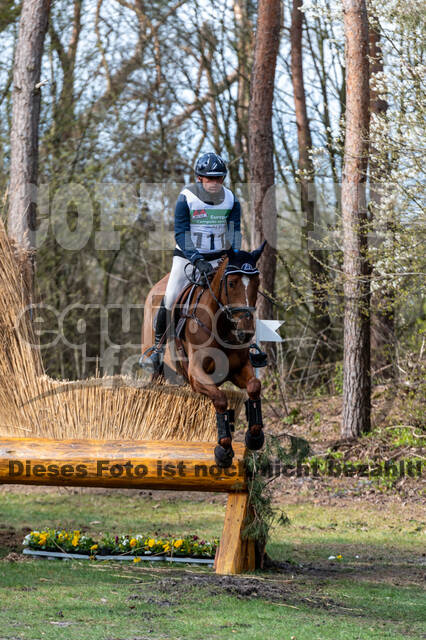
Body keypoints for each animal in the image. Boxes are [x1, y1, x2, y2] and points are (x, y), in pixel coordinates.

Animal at [141, 244, 266, 464]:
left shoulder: (239, 368)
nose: (246, 331)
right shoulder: (196, 373)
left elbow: (254, 386)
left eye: (256, 282)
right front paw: (223, 449)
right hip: (157, 369)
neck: (219, 325)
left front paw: (254, 436)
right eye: (231, 283)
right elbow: (221, 399)